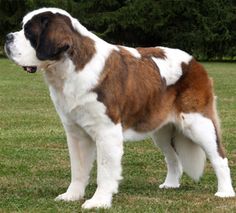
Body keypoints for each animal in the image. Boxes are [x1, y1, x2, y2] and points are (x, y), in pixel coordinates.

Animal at [4, 7, 235, 208]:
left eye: (29, 32)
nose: (7, 37)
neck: (68, 68)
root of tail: (195, 62)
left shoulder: (107, 131)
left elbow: (105, 171)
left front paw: (98, 202)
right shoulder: (76, 133)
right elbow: (78, 169)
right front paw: (72, 195)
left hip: (198, 122)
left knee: (219, 156)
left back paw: (225, 192)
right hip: (160, 129)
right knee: (173, 158)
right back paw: (170, 185)